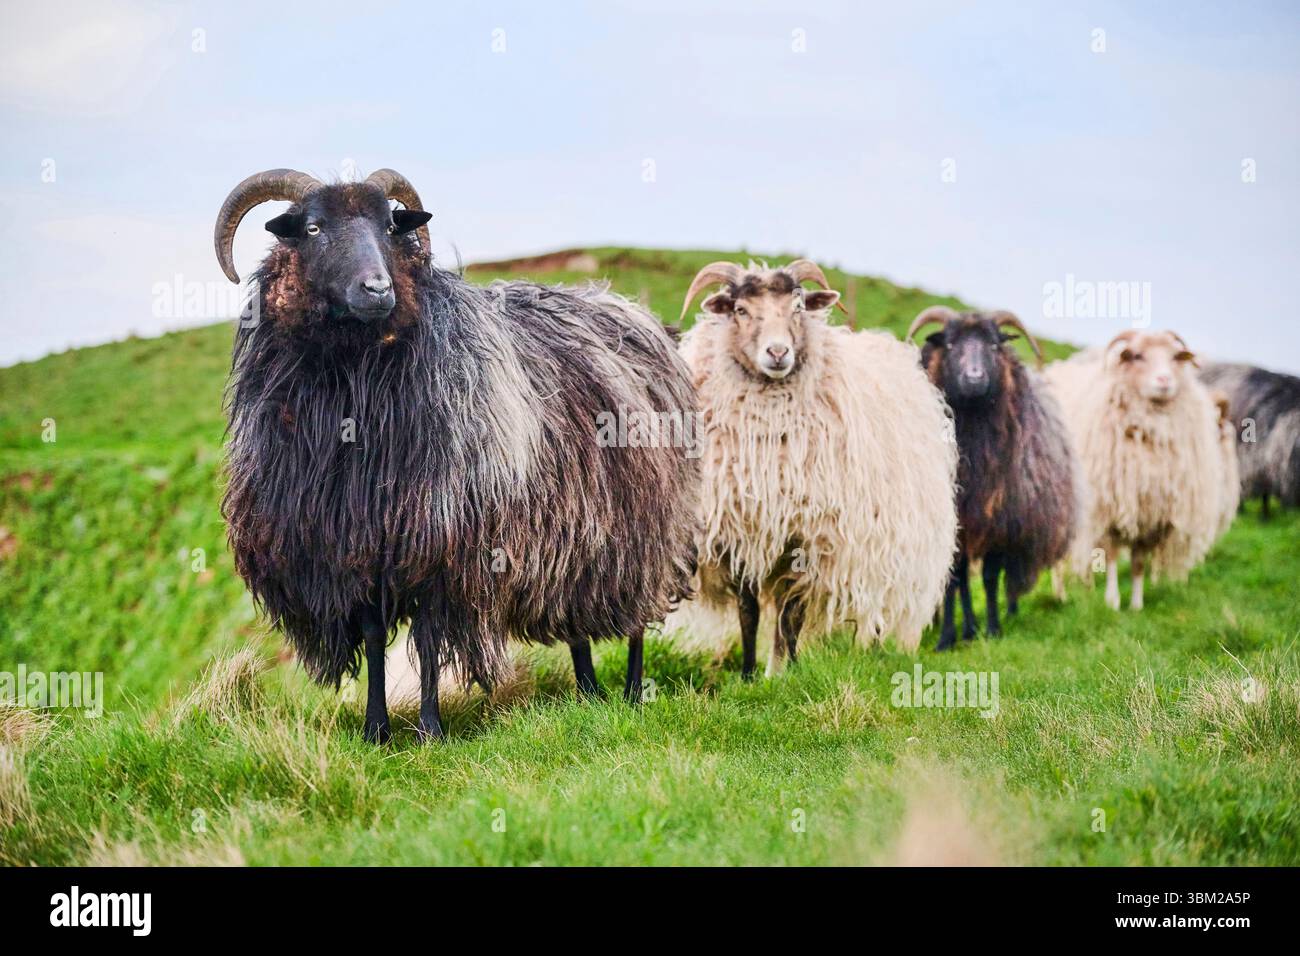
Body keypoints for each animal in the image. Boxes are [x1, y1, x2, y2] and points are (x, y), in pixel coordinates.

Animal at [214, 167, 699, 742]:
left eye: (389, 225)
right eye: (313, 228)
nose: (377, 289)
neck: (353, 389)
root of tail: (632, 311)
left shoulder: (444, 542)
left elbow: (426, 641)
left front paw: (431, 729)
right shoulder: (358, 541)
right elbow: (374, 638)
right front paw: (376, 729)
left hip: (643, 523)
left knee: (638, 613)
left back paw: (631, 691)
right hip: (574, 526)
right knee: (575, 615)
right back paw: (588, 692)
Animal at [672, 260, 958, 675]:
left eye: (798, 307)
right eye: (740, 310)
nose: (778, 352)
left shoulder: (812, 538)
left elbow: (792, 615)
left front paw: (785, 674)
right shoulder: (740, 532)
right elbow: (749, 612)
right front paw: (749, 673)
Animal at [907, 307, 1077, 649]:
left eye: (994, 345)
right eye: (950, 345)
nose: (974, 379)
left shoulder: (1001, 522)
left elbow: (988, 578)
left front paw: (993, 629)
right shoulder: (957, 523)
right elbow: (954, 581)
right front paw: (948, 637)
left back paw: (1002, 614)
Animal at [1042, 330, 1222, 611]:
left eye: (1175, 356)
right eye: (1137, 356)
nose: (1164, 380)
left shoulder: (1150, 514)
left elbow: (1138, 562)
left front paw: (1137, 605)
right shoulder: (1107, 509)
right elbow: (1112, 556)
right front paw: (1113, 602)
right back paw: (1060, 595)